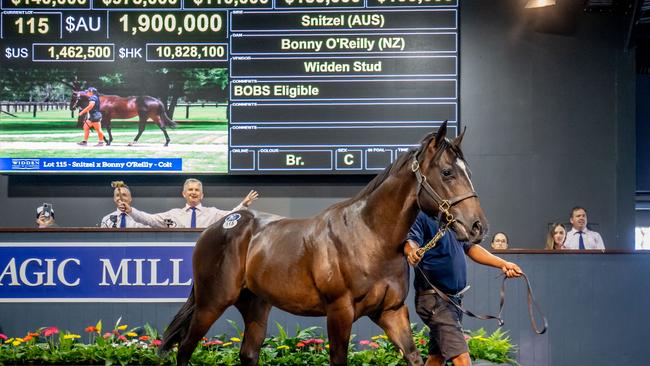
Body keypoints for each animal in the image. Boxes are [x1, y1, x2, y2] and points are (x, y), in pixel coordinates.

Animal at [161, 121, 486, 364]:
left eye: (469, 171)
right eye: (447, 172)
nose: (477, 226)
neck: (370, 237)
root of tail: (219, 226)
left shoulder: (391, 313)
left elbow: (414, 356)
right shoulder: (339, 313)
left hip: (255, 305)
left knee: (248, 354)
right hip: (211, 303)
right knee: (185, 349)